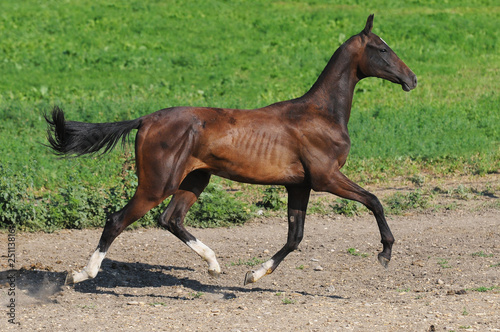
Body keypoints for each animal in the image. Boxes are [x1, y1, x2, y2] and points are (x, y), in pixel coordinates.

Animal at [45, 14, 416, 286]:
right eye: (382, 49)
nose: (412, 80)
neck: (322, 114)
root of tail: (146, 119)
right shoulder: (327, 177)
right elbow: (374, 200)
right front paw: (385, 253)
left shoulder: (300, 184)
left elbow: (295, 236)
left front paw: (254, 274)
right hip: (157, 184)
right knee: (118, 220)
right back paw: (80, 274)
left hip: (195, 179)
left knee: (170, 219)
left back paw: (213, 265)